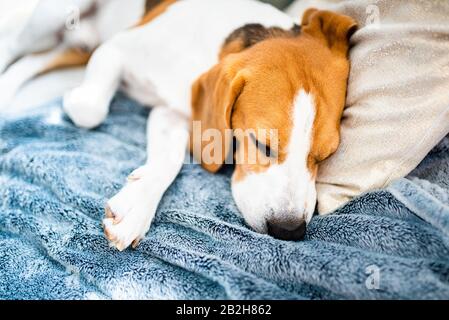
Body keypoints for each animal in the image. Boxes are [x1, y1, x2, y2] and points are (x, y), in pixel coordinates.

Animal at [14, 0, 356, 250]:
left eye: (325, 156)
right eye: (262, 143)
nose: (288, 230)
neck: (204, 52)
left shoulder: (174, 113)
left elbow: (169, 160)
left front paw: (137, 203)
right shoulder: (115, 48)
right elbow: (90, 110)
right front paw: (76, 98)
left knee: (42, 57)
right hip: (51, 14)